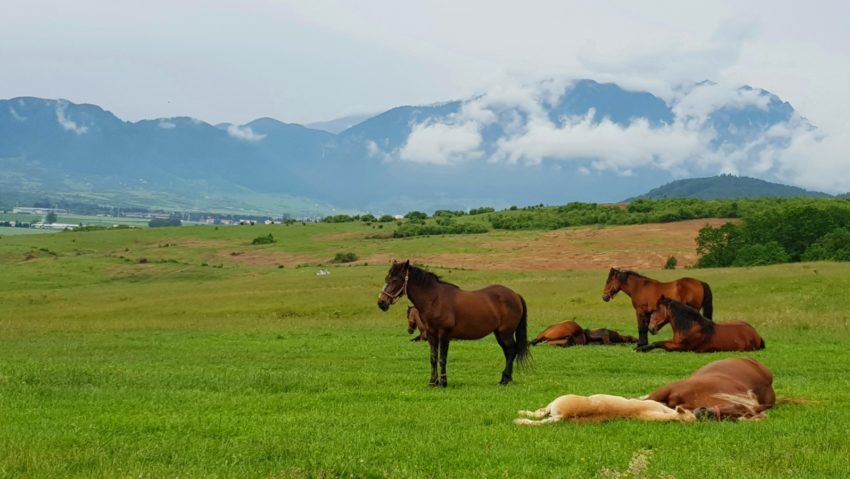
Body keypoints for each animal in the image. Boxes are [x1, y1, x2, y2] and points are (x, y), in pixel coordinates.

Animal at [374, 260, 528, 388]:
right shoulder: (431, 335)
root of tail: (515, 295)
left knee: (511, 351)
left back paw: (505, 379)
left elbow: (442, 359)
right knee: (508, 352)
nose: (381, 302)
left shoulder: (444, 335)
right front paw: (432, 382)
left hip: (505, 333)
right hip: (499, 334)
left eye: (395, 279)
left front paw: (443, 382)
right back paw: (505, 379)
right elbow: (433, 358)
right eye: (387, 278)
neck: (434, 300)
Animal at [632, 296, 764, 352]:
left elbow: (659, 343)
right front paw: (639, 347)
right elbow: (658, 342)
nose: (651, 328)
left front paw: (640, 349)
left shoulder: (681, 347)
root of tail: (756, 335)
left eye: (656, 311)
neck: (690, 326)